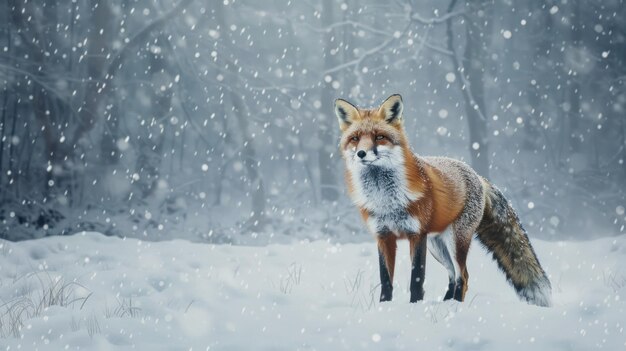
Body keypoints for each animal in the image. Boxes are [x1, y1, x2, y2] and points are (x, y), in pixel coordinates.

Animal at [334, 95, 548, 306]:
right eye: (355, 138)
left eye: (379, 136)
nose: (361, 153)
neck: (386, 201)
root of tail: (478, 176)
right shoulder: (383, 236)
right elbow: (385, 280)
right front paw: (384, 307)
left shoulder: (417, 235)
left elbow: (416, 279)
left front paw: (415, 306)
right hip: (437, 246)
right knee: (452, 275)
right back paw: (446, 303)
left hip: (455, 241)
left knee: (463, 276)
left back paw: (455, 306)